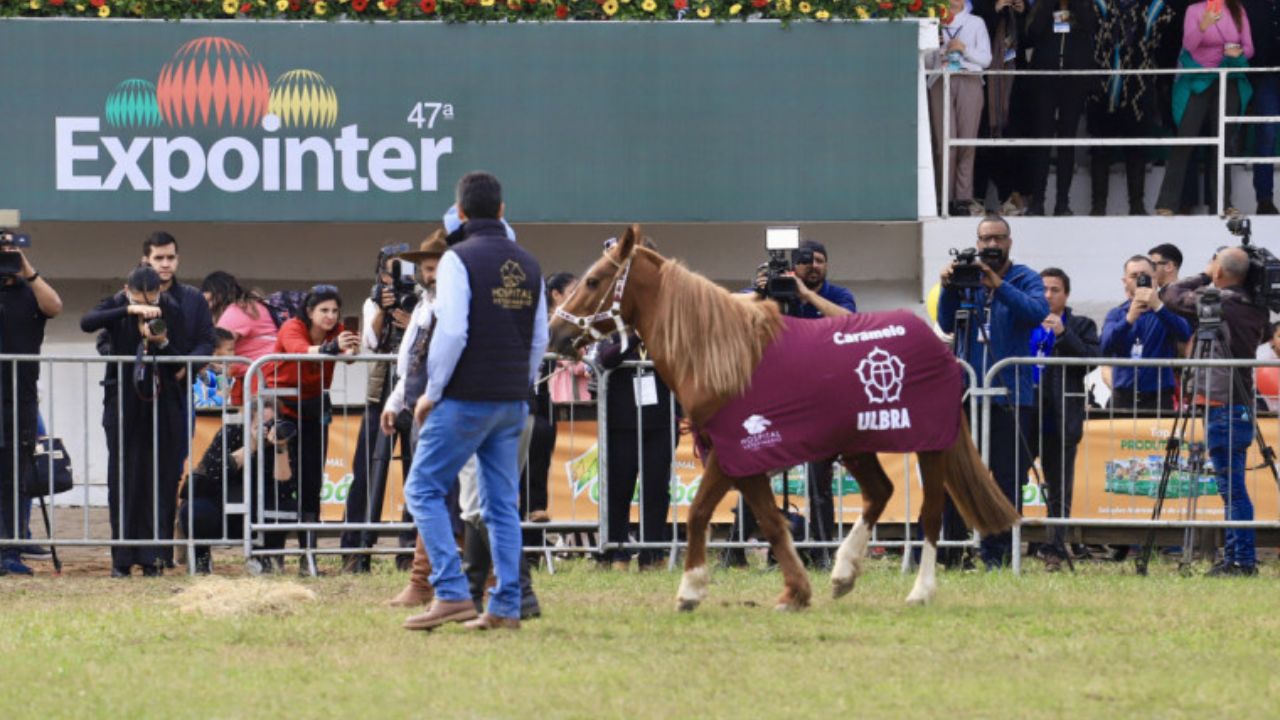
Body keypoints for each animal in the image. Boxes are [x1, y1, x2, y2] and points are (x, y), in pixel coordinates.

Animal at [545, 226, 1013, 607]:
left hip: (929, 446)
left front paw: (692, 589)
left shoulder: (735, 452)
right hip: (858, 445)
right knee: (880, 492)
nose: (554, 333)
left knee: (930, 514)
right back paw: (843, 572)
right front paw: (796, 590)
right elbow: (769, 520)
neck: (722, 354)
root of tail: (940, 348)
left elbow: (701, 513)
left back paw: (919, 590)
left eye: (593, 280)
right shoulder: (742, 458)